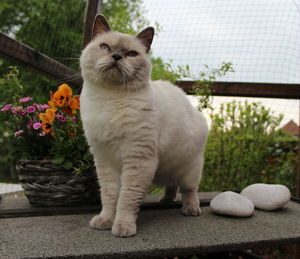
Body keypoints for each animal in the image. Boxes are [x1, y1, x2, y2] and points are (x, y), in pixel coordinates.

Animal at [79, 14, 209, 238]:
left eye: (131, 54)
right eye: (105, 47)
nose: (116, 56)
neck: (109, 99)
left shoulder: (137, 158)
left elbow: (126, 199)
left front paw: (122, 227)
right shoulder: (105, 160)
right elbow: (110, 197)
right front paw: (105, 221)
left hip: (188, 168)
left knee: (189, 190)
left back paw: (190, 209)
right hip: (165, 169)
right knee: (171, 185)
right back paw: (165, 200)